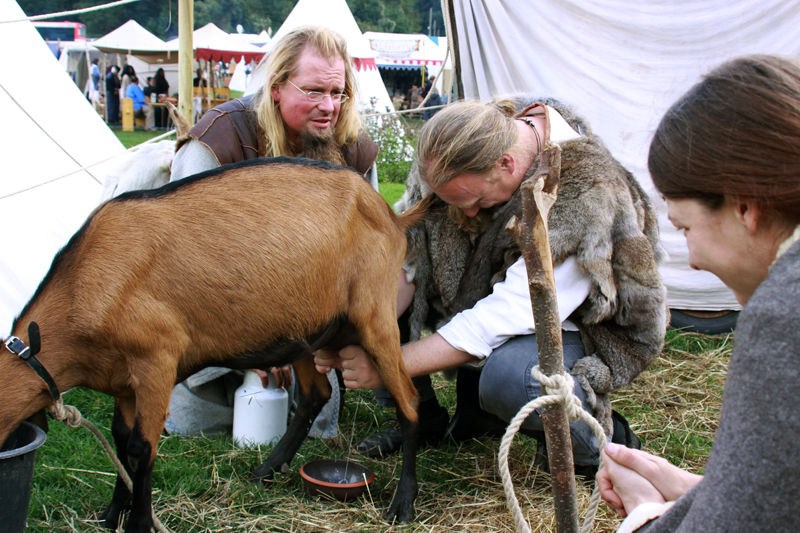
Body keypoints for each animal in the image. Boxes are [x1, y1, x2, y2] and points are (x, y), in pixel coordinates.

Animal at [3, 158, 428, 532]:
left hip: (375, 315)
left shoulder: (157, 359)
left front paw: (139, 524)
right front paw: (111, 516)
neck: (84, 283)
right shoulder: (122, 382)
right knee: (315, 395)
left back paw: (403, 503)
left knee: (408, 400)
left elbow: (141, 448)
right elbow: (121, 442)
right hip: (305, 332)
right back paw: (265, 470)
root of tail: (391, 215)